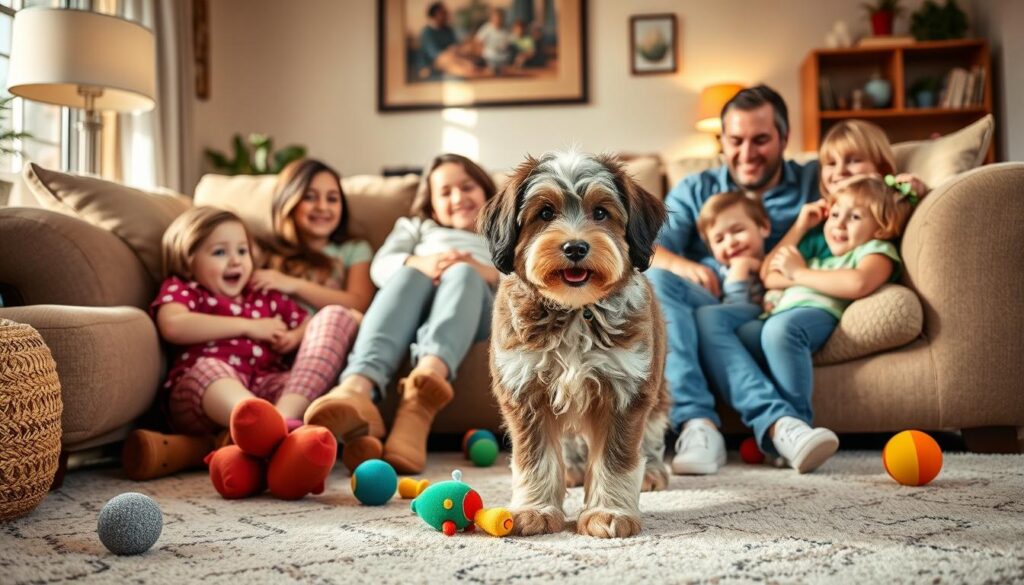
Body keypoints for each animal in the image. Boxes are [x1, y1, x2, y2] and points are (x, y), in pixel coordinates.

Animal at [479, 150, 671, 540]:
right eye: (545, 213)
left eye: (600, 212)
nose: (575, 247)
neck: (573, 310)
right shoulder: (525, 389)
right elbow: (535, 457)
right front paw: (535, 510)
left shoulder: (627, 389)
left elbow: (616, 459)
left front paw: (608, 512)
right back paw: (571, 471)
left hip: (657, 387)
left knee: (653, 430)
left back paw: (653, 471)